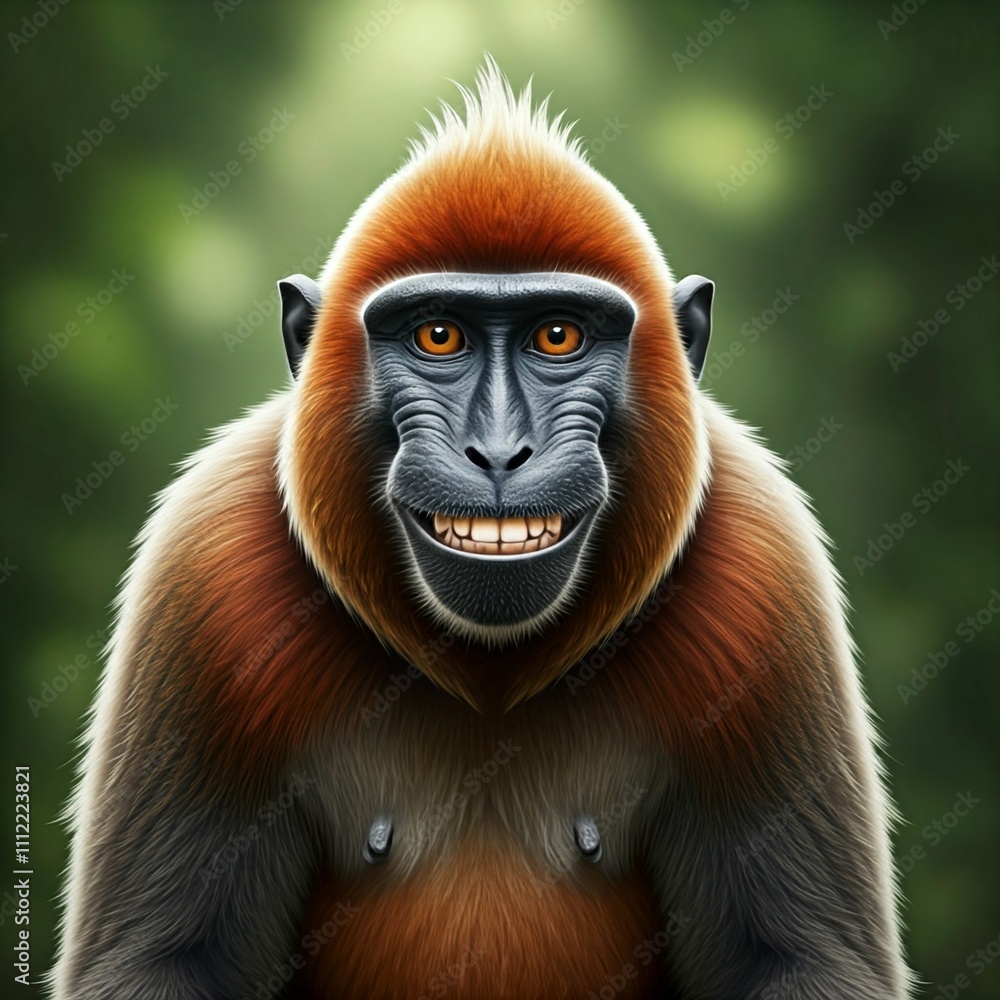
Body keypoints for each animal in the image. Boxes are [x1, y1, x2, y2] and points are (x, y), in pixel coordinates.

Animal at [51, 61, 913, 999]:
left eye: (558, 335)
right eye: (438, 335)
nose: (499, 451)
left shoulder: (766, 568)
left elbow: (797, 959)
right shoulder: (204, 564)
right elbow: (164, 959)